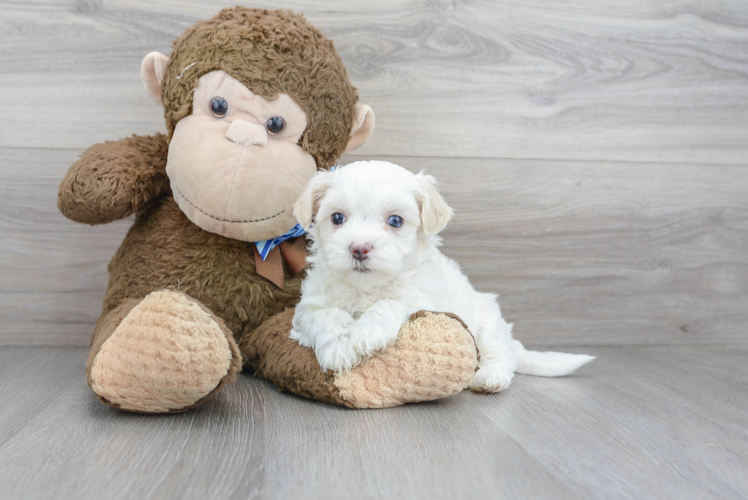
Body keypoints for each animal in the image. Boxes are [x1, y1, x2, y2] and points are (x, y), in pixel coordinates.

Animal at [290, 162, 592, 392]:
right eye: (337, 218)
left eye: (395, 221)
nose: (359, 248)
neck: (367, 288)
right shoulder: (308, 307)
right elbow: (326, 315)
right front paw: (339, 348)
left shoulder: (425, 300)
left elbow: (392, 303)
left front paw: (368, 331)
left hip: (488, 323)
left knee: (502, 356)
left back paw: (490, 377)